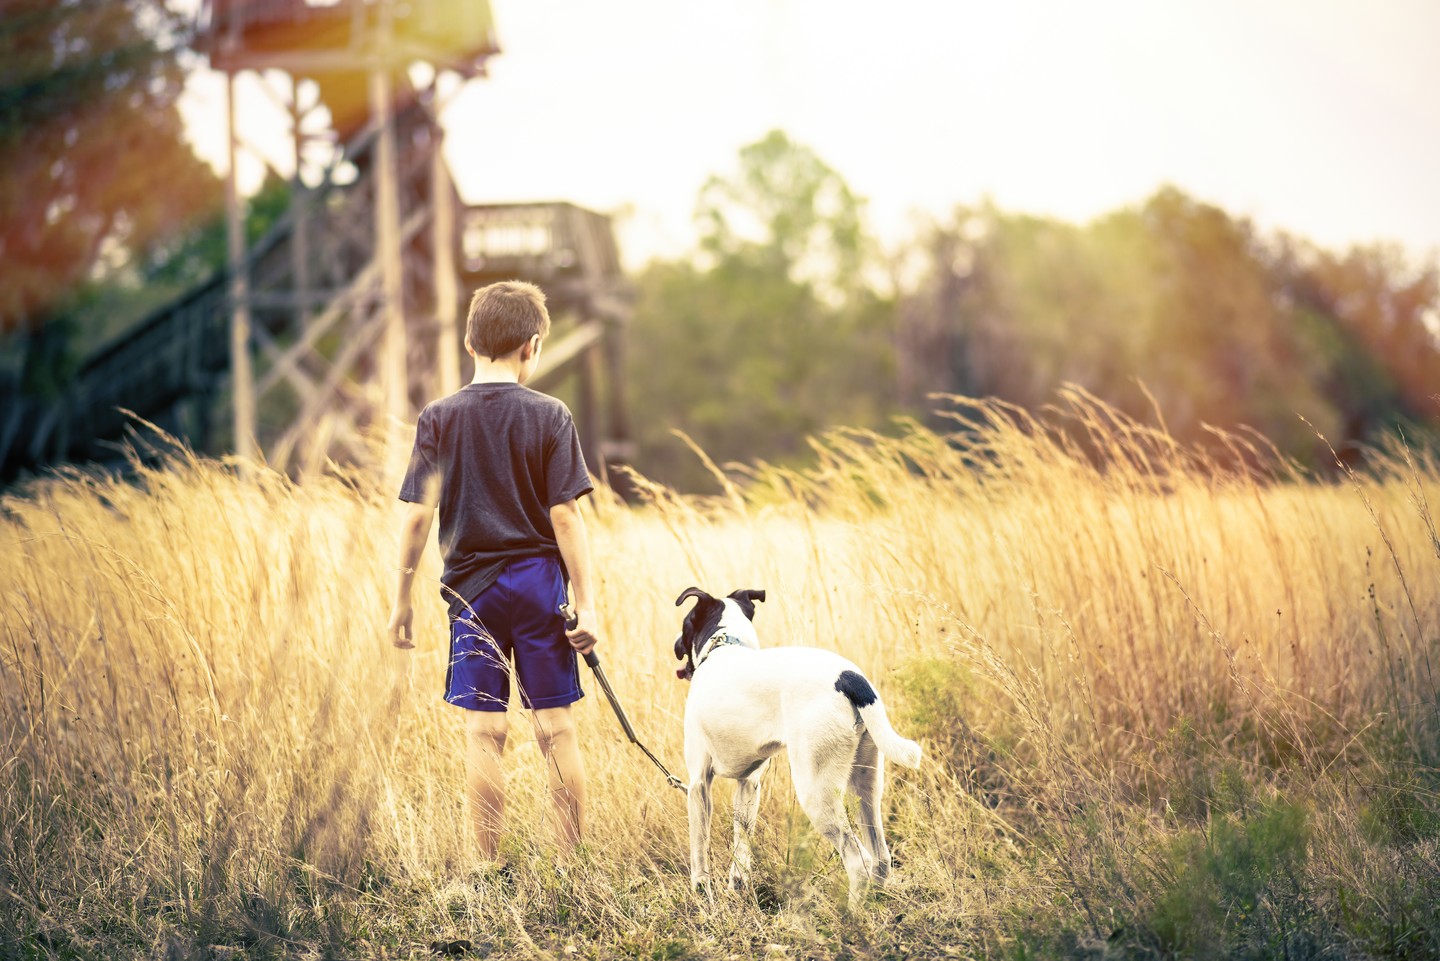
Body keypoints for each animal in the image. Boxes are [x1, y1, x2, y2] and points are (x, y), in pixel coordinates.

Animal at [671, 587, 921, 910]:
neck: (724, 645)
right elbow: (741, 849)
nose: (675, 645)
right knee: (880, 858)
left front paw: (703, 898)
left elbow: (699, 855)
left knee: (859, 861)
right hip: (865, 785)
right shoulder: (749, 784)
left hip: (816, 792)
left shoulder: (698, 785)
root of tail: (850, 677)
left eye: (686, 621)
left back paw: (852, 916)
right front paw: (737, 889)